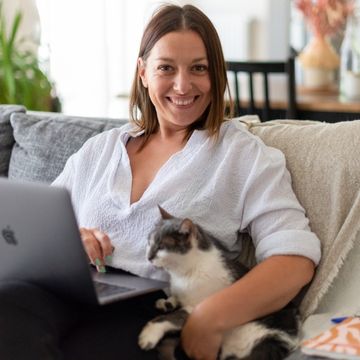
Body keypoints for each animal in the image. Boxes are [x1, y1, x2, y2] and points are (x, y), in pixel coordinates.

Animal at [139, 205, 300, 360]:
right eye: (149, 242)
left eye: (161, 247)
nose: (148, 257)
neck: (185, 272)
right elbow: (175, 297)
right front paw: (166, 302)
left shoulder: (198, 307)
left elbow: (174, 317)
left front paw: (150, 334)